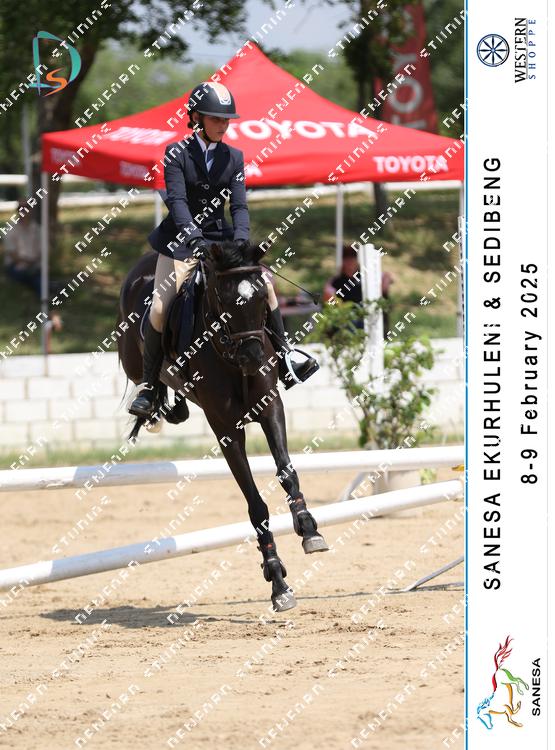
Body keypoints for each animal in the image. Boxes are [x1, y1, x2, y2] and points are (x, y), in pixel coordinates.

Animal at [116, 241, 329, 612]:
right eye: (224, 301)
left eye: (261, 300)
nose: (254, 358)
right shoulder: (226, 428)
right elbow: (256, 504)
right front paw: (277, 580)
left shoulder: (271, 408)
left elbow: (286, 472)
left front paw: (309, 529)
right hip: (134, 353)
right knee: (149, 373)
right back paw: (150, 403)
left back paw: (172, 407)